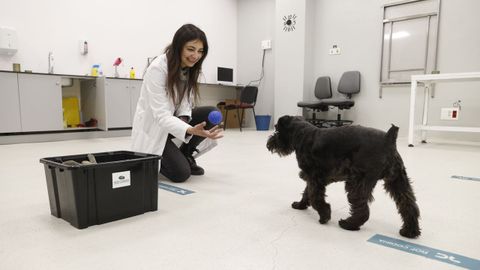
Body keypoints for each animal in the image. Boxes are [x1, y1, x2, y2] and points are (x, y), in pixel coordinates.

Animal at [266, 115, 420, 237]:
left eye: (277, 130)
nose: (269, 144)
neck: (302, 134)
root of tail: (389, 139)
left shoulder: (315, 178)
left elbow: (315, 197)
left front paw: (324, 215)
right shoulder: (312, 178)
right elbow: (306, 193)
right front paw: (300, 205)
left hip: (357, 184)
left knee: (363, 210)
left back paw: (348, 224)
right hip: (397, 181)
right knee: (408, 205)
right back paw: (410, 231)